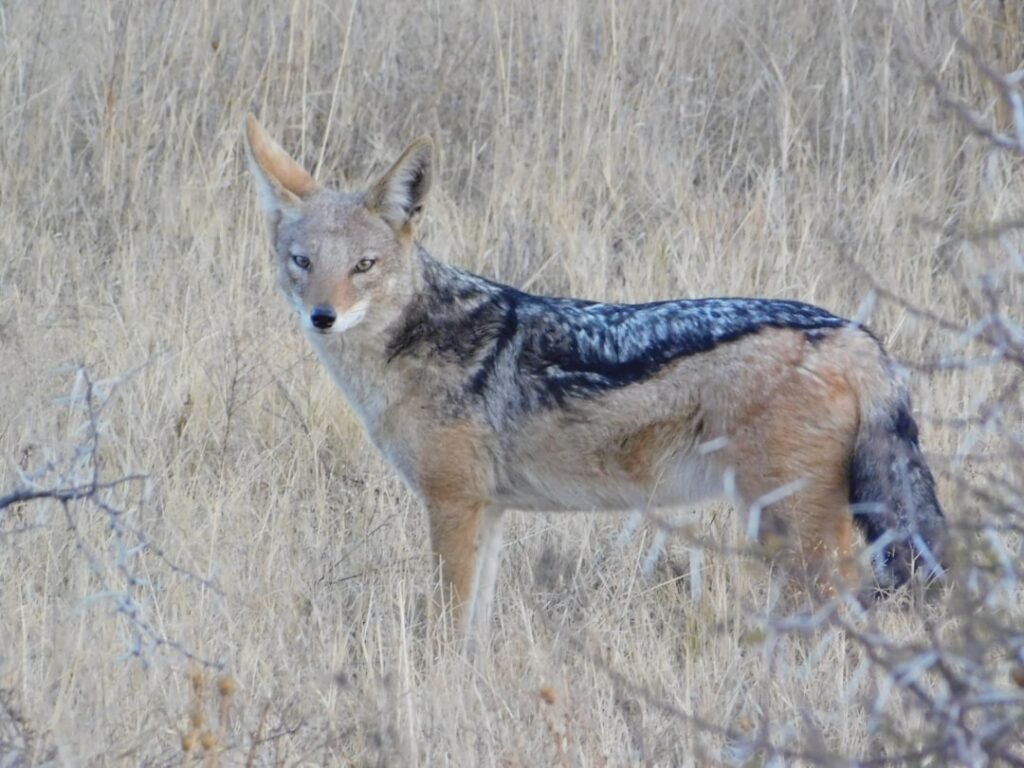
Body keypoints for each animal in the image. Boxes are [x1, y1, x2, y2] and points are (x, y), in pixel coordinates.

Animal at [243, 114, 947, 634]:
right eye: (303, 262)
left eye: (363, 265)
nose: (323, 317)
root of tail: (855, 334)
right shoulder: (488, 512)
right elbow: (475, 629)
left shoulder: (454, 505)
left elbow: (446, 624)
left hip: (790, 532)